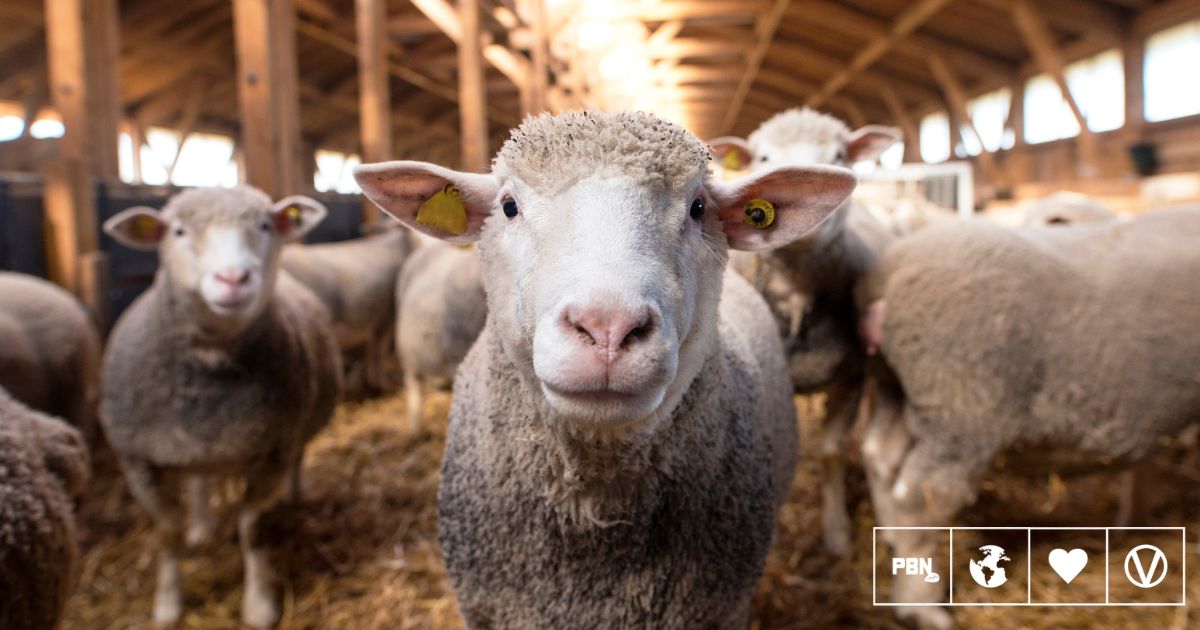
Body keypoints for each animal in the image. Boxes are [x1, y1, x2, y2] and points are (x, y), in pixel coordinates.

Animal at [100, 186, 343, 628]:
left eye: (264, 225)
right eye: (178, 231)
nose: (233, 278)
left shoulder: (274, 451)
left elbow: (252, 527)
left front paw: (259, 605)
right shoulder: (138, 462)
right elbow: (167, 532)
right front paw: (168, 605)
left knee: (297, 458)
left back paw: (294, 495)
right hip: (194, 446)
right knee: (199, 479)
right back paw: (201, 526)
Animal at [711, 107, 900, 556]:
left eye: (839, 154)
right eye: (762, 157)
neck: (797, 296)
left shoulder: (851, 375)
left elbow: (830, 453)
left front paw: (837, 533)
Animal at [859, 206, 1200, 629]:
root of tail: (888, 273)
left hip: (897, 388)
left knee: (879, 457)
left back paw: (892, 546)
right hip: (963, 403)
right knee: (924, 496)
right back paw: (922, 608)